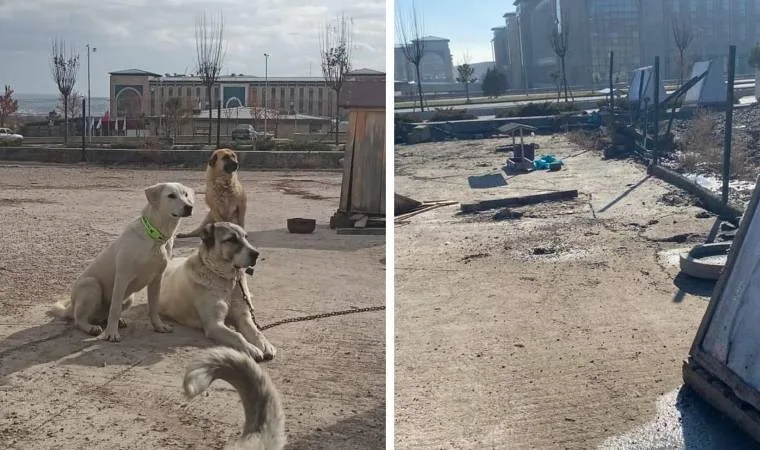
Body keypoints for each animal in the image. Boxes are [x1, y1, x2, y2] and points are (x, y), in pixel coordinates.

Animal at [49, 183, 193, 342]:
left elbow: (153, 306)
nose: (189, 207)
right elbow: (115, 308)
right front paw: (111, 333)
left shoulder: (156, 279)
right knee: (79, 320)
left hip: (129, 298)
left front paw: (159, 326)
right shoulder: (122, 277)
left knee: (101, 317)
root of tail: (71, 306)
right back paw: (91, 328)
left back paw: (115, 322)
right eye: (171, 195)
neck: (155, 237)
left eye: (186, 194)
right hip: (91, 285)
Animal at [157, 221, 276, 362]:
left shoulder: (243, 316)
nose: (256, 254)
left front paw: (265, 344)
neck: (226, 280)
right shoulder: (214, 324)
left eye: (246, 237)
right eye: (231, 239)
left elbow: (256, 331)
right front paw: (251, 348)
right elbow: (237, 335)